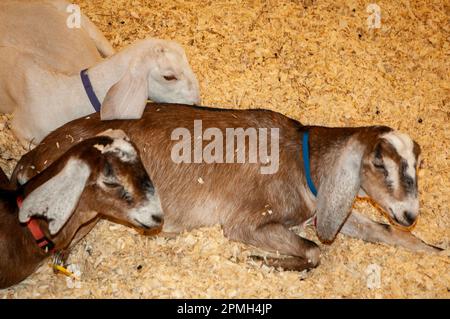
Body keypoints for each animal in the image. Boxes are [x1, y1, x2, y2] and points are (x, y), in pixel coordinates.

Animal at [11, 105, 442, 272]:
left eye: (418, 167)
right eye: (380, 164)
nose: (410, 215)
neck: (304, 161)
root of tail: (31, 155)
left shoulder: (322, 208)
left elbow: (378, 230)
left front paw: (434, 250)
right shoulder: (246, 222)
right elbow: (314, 251)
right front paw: (259, 261)